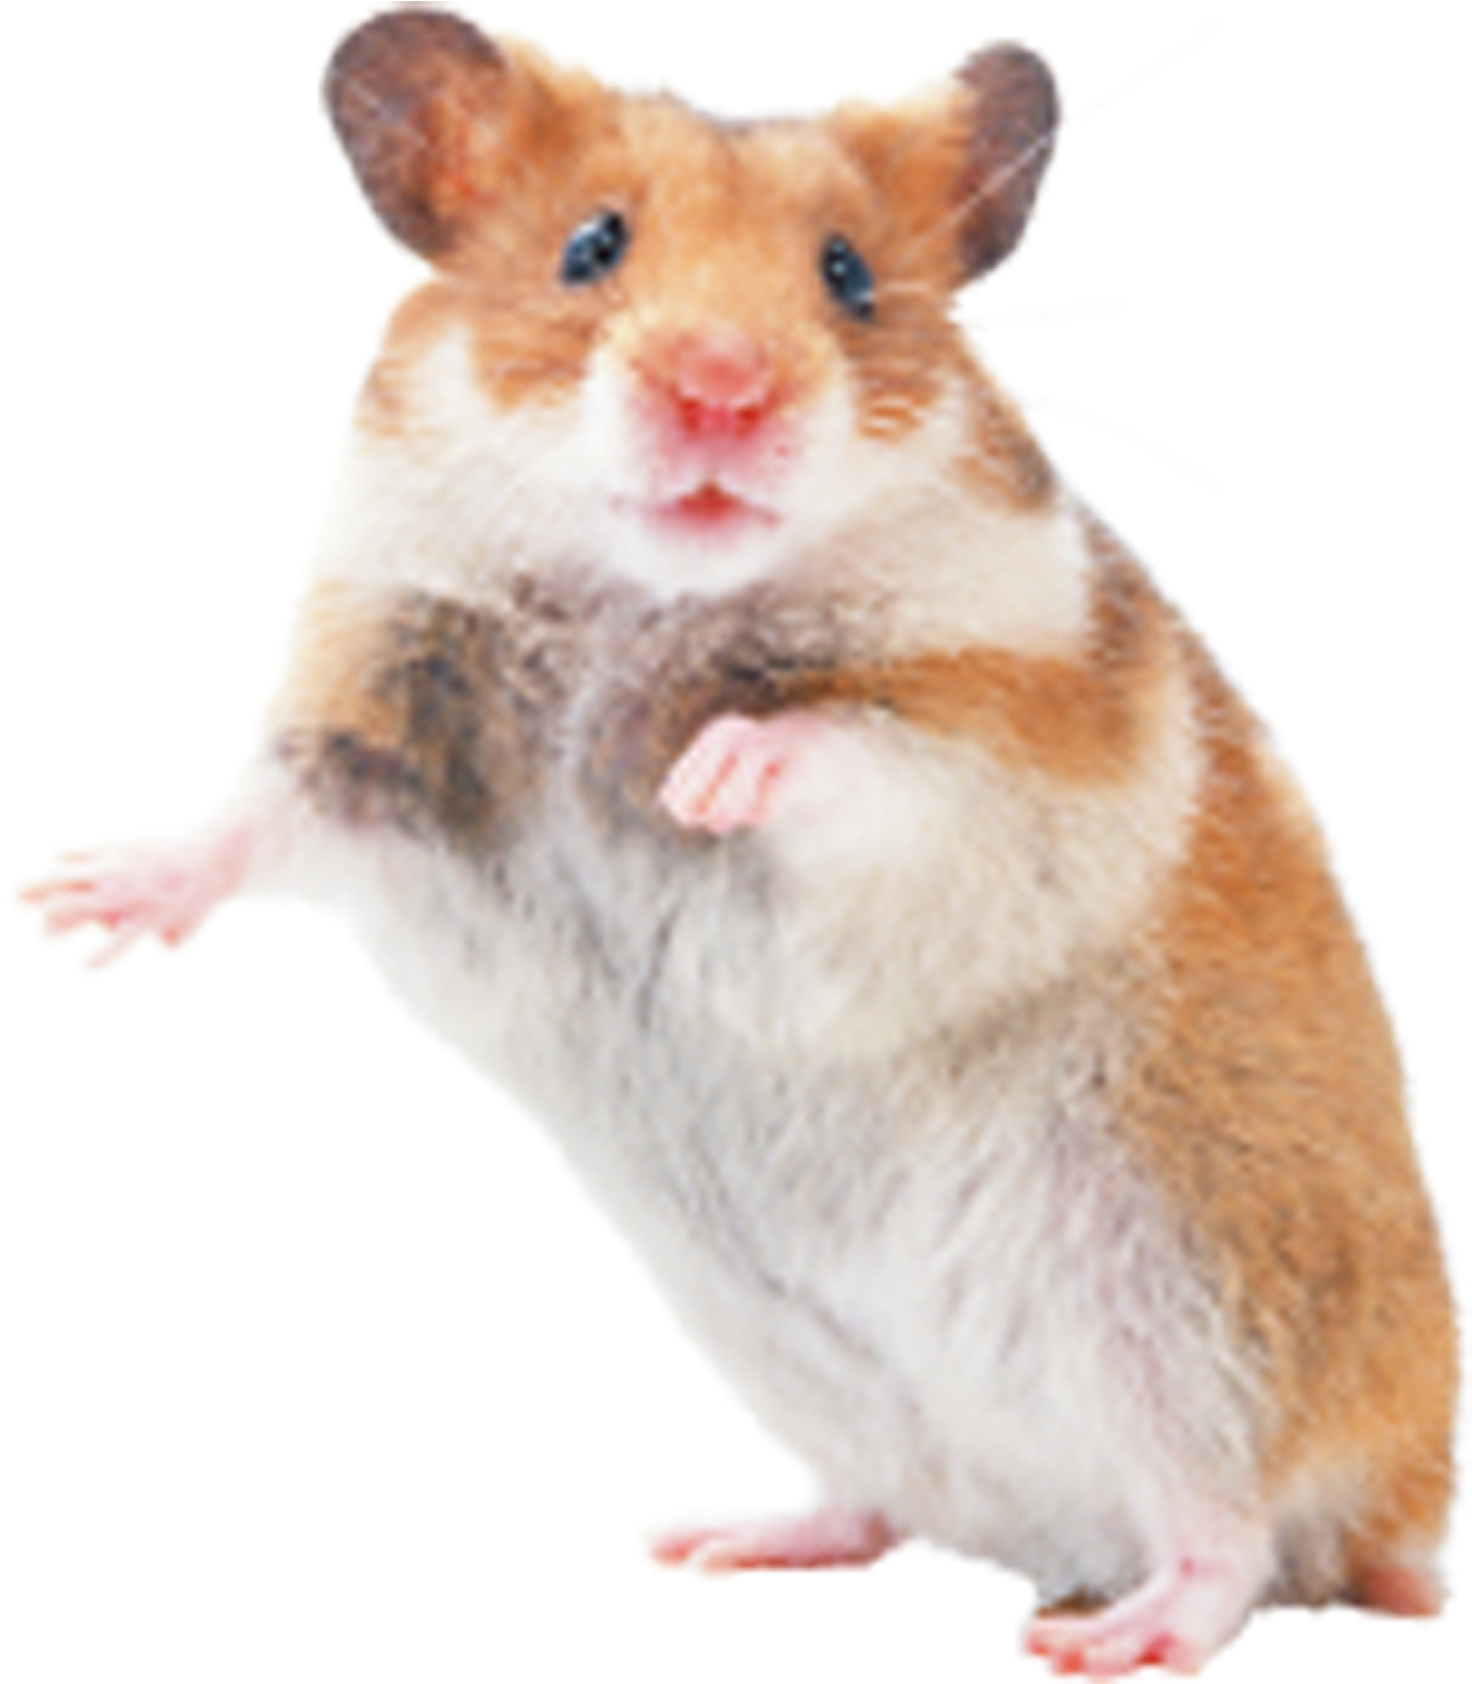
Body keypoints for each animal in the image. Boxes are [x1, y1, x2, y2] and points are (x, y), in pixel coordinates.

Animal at [5, 7, 1460, 1677]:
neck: (647, 596)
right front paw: (71, 904)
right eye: (590, 246)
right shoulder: (382, 721)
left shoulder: (1006, 750)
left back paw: (1107, 1640)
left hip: (1194, 1306)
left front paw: (702, 776)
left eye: (848, 274)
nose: (723, 389)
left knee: (1237, 1537)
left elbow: (851, 747)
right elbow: (258, 811)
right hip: (808, 1356)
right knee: (890, 1501)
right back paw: (717, 1542)